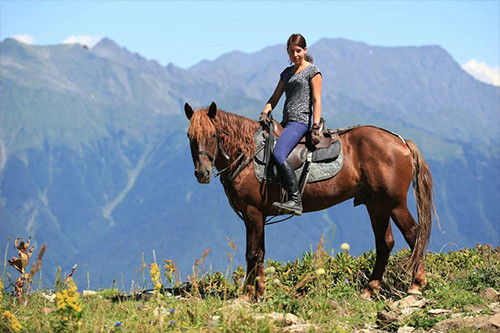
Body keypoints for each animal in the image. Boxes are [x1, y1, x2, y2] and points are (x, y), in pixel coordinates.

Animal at [186, 101, 436, 298]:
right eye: (190, 137)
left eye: (213, 135)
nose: (202, 173)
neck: (249, 152)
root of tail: (402, 142)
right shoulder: (259, 216)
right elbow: (261, 253)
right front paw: (260, 293)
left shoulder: (252, 213)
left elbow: (251, 253)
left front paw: (247, 295)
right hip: (376, 205)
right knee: (385, 244)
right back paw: (369, 289)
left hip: (394, 203)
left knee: (414, 234)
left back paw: (416, 285)